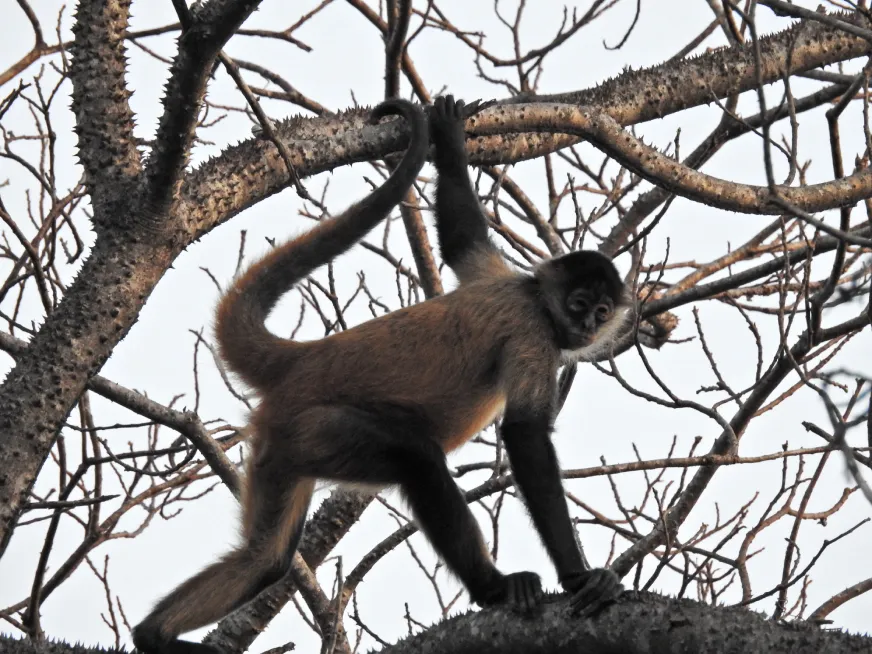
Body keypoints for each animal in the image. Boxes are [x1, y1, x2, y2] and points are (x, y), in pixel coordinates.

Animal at [133, 95, 627, 654]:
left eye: (603, 310)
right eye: (580, 303)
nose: (588, 326)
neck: (532, 297)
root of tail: (303, 357)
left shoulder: (497, 275)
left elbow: (462, 241)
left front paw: (450, 139)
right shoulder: (531, 334)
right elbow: (524, 437)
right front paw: (580, 577)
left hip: (281, 447)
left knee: (265, 559)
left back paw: (153, 634)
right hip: (316, 430)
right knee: (418, 460)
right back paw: (494, 587)